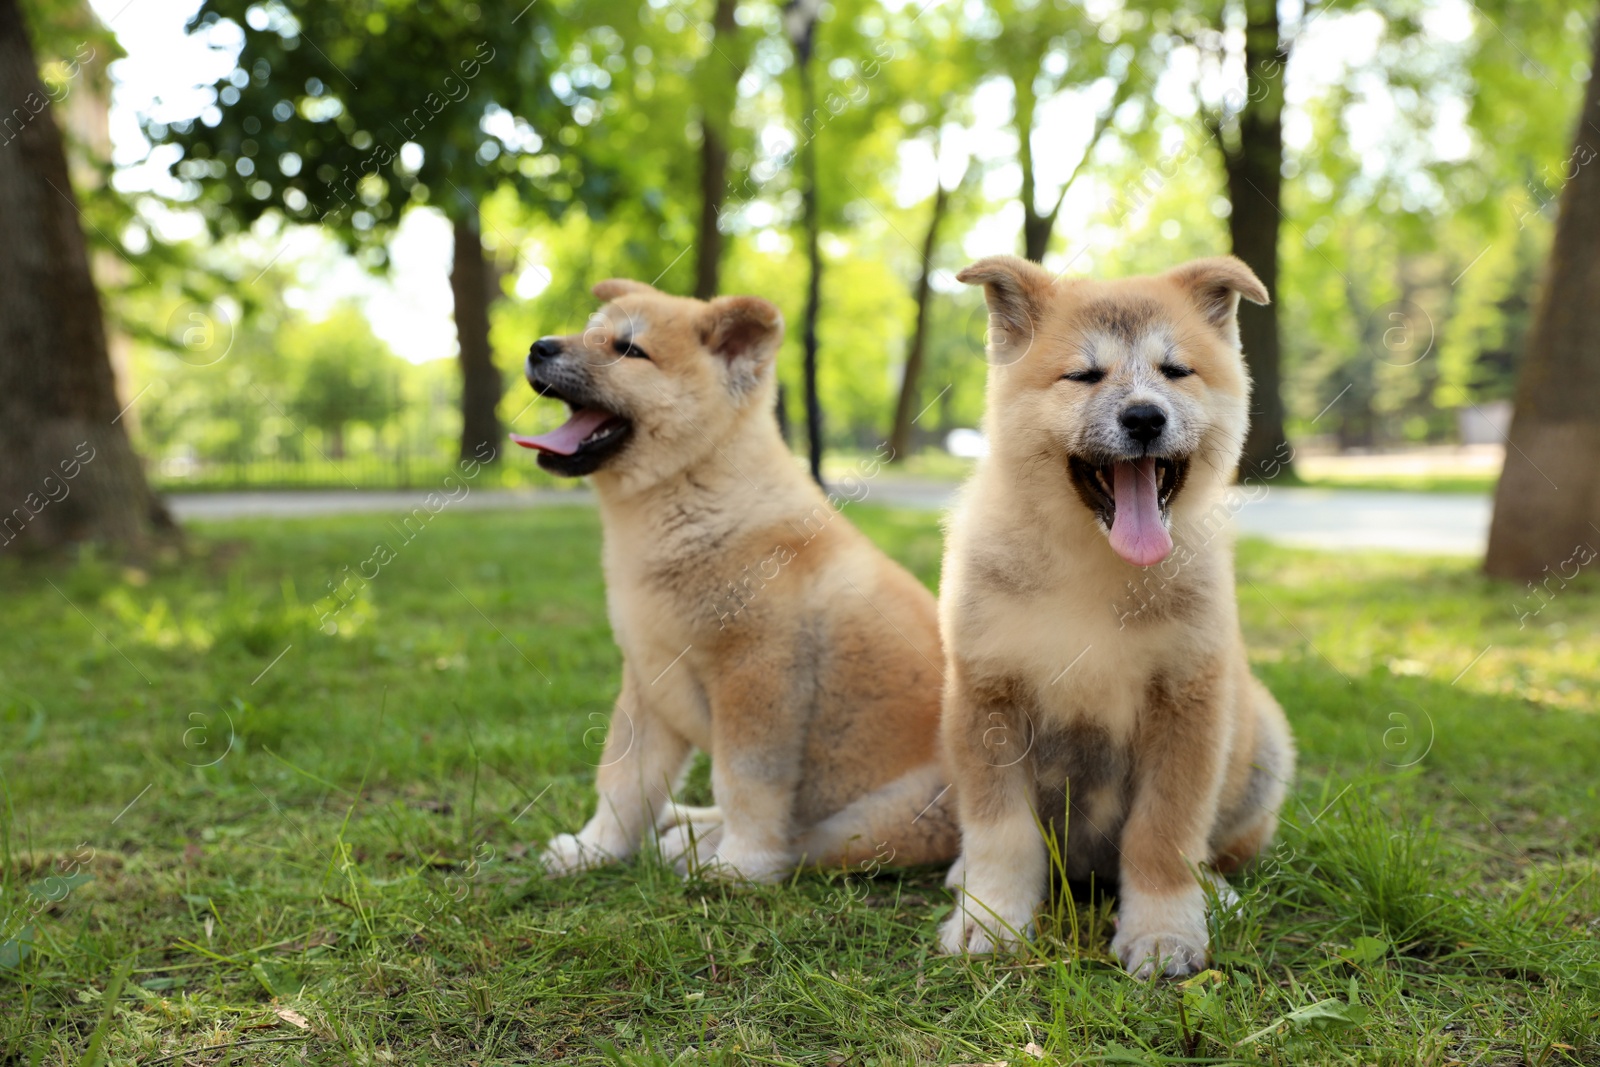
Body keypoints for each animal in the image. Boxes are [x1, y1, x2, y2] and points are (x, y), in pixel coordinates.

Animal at [521, 278, 960, 883]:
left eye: (628, 350)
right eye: (588, 332)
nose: (538, 347)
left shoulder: (756, 673)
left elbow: (746, 782)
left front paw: (740, 863)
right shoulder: (648, 681)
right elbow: (623, 781)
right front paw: (595, 849)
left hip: (885, 818)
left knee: (809, 842)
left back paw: (706, 849)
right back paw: (687, 822)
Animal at [940, 255, 1292, 979]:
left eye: (1176, 370)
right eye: (1084, 374)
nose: (1144, 417)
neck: (1095, 566)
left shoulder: (1188, 700)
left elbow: (1164, 833)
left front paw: (1163, 932)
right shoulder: (986, 698)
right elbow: (1001, 834)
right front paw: (990, 918)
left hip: (1264, 739)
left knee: (1212, 847)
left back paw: (1214, 890)